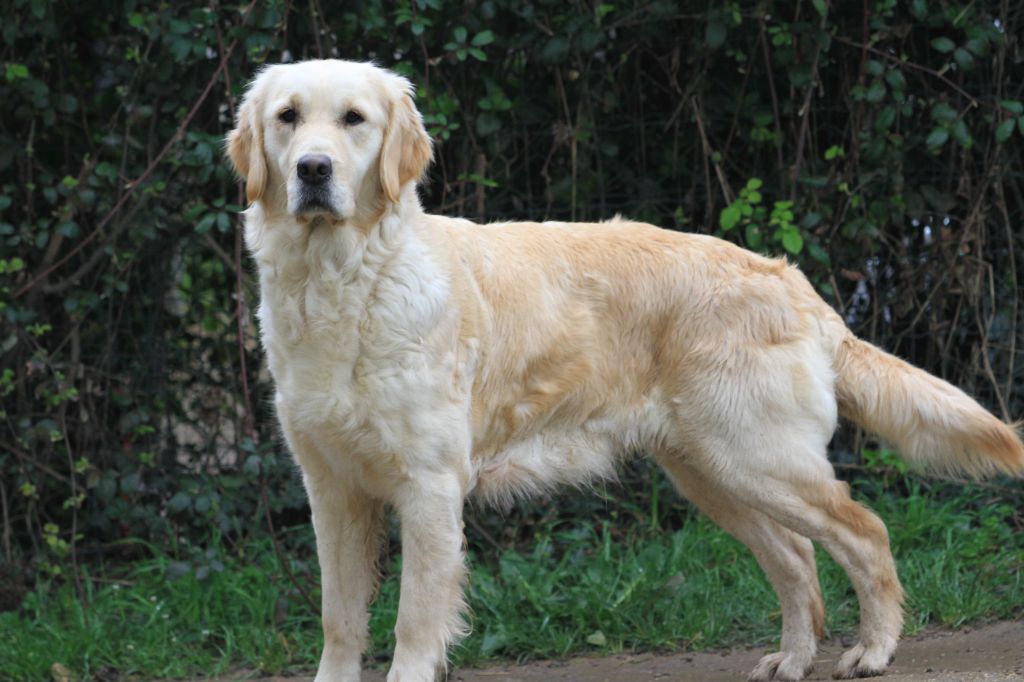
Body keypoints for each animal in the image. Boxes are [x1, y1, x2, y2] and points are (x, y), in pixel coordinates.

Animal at [226, 59, 1024, 679]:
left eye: (354, 120)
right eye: (288, 118)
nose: (313, 170)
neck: (342, 280)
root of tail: (792, 280)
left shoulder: (427, 487)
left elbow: (412, 624)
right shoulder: (332, 490)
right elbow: (339, 622)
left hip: (756, 458)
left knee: (864, 530)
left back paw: (875, 651)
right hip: (713, 472)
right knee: (797, 559)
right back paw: (795, 658)